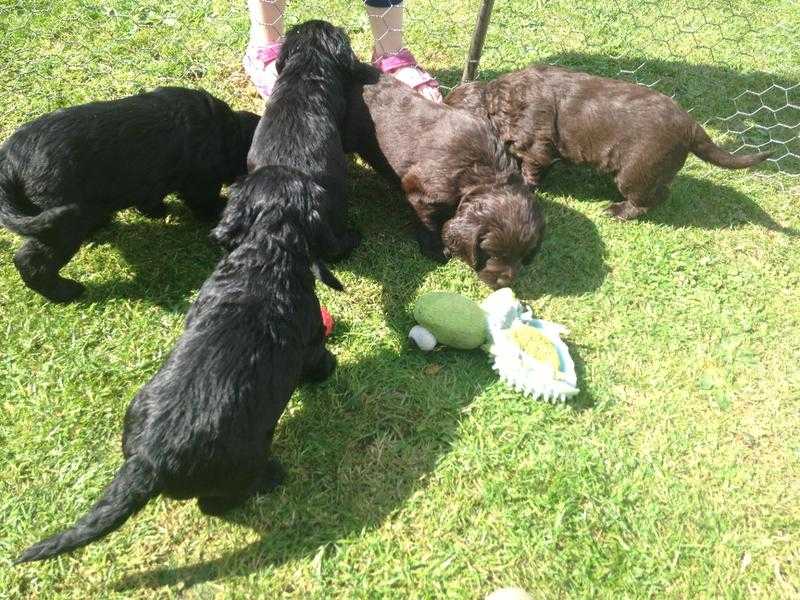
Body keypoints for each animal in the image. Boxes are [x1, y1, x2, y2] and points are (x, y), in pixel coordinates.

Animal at [0, 86, 258, 302]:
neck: (225, 131)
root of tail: (9, 160)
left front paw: (157, 211)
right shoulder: (200, 181)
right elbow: (204, 201)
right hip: (62, 222)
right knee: (31, 261)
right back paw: (65, 291)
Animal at [14, 164, 340, 564]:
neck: (266, 252)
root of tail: (148, 462)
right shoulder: (309, 336)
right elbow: (318, 357)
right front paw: (330, 369)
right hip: (241, 462)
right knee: (216, 504)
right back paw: (270, 478)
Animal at [344, 64, 544, 290]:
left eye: (524, 254)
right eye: (493, 253)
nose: (505, 283)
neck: (485, 174)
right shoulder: (422, 195)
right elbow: (429, 223)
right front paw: (436, 250)